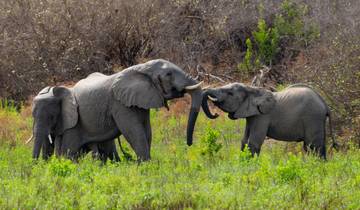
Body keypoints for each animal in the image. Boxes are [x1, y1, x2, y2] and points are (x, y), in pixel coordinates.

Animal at [29, 58, 204, 161]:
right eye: (168, 74)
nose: (189, 143)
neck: (141, 68)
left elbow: (147, 132)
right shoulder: (120, 104)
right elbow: (134, 132)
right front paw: (146, 166)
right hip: (73, 125)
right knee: (69, 152)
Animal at [202, 83, 338, 158]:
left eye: (230, 93)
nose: (215, 114)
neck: (252, 89)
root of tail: (325, 105)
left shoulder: (262, 116)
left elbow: (253, 142)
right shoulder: (252, 115)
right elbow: (244, 141)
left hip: (313, 118)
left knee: (314, 146)